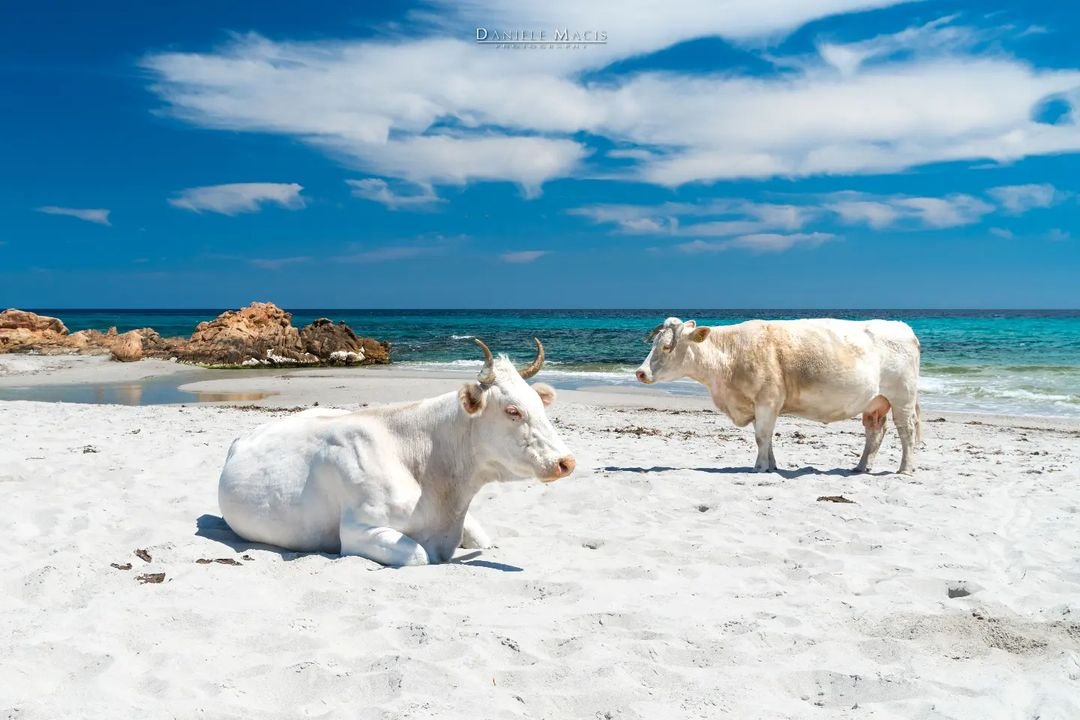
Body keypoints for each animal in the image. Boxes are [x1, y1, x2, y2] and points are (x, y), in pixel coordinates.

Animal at [218, 338, 576, 566]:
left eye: (538, 403)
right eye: (512, 411)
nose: (567, 462)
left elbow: (483, 538)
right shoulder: (357, 530)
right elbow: (418, 554)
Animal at [634, 318, 921, 474]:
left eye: (667, 346)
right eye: (654, 343)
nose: (640, 372)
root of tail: (903, 328)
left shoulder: (766, 401)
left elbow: (762, 437)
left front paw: (759, 467)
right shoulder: (762, 406)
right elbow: (767, 438)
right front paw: (771, 465)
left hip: (902, 399)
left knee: (906, 432)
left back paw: (905, 469)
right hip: (875, 403)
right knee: (875, 433)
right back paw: (861, 467)